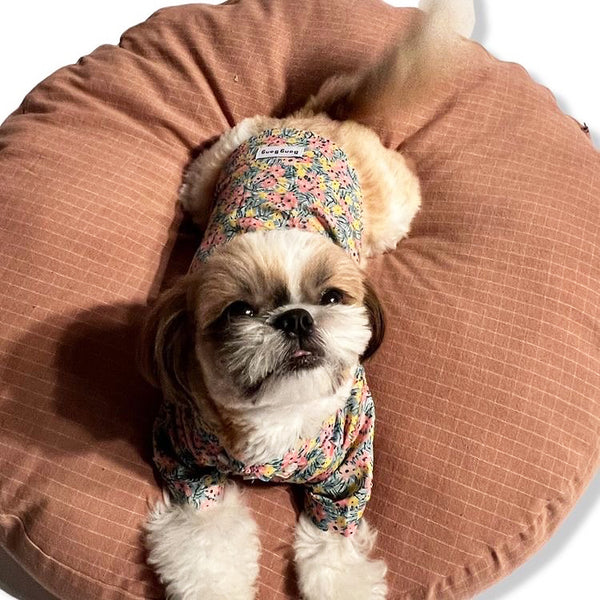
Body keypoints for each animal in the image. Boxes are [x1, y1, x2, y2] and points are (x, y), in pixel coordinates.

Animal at [141, 2, 474, 596]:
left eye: (332, 297)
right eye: (241, 311)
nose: (296, 318)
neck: (280, 416)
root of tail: (319, 120)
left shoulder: (350, 469)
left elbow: (333, 542)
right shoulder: (185, 462)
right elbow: (206, 539)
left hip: (391, 209)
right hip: (209, 176)